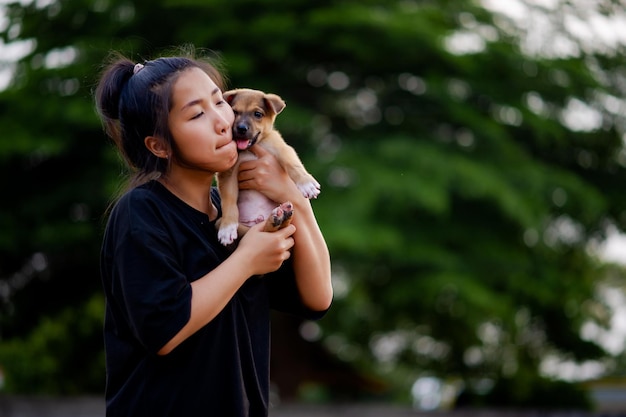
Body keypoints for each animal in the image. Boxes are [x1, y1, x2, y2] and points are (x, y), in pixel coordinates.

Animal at [216, 88, 322, 244]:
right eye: (234, 112)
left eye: (257, 114)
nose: (241, 128)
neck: (250, 149)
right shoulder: (227, 173)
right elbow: (229, 200)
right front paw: (227, 227)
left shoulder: (281, 149)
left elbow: (293, 165)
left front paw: (306, 184)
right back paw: (275, 219)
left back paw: (282, 214)